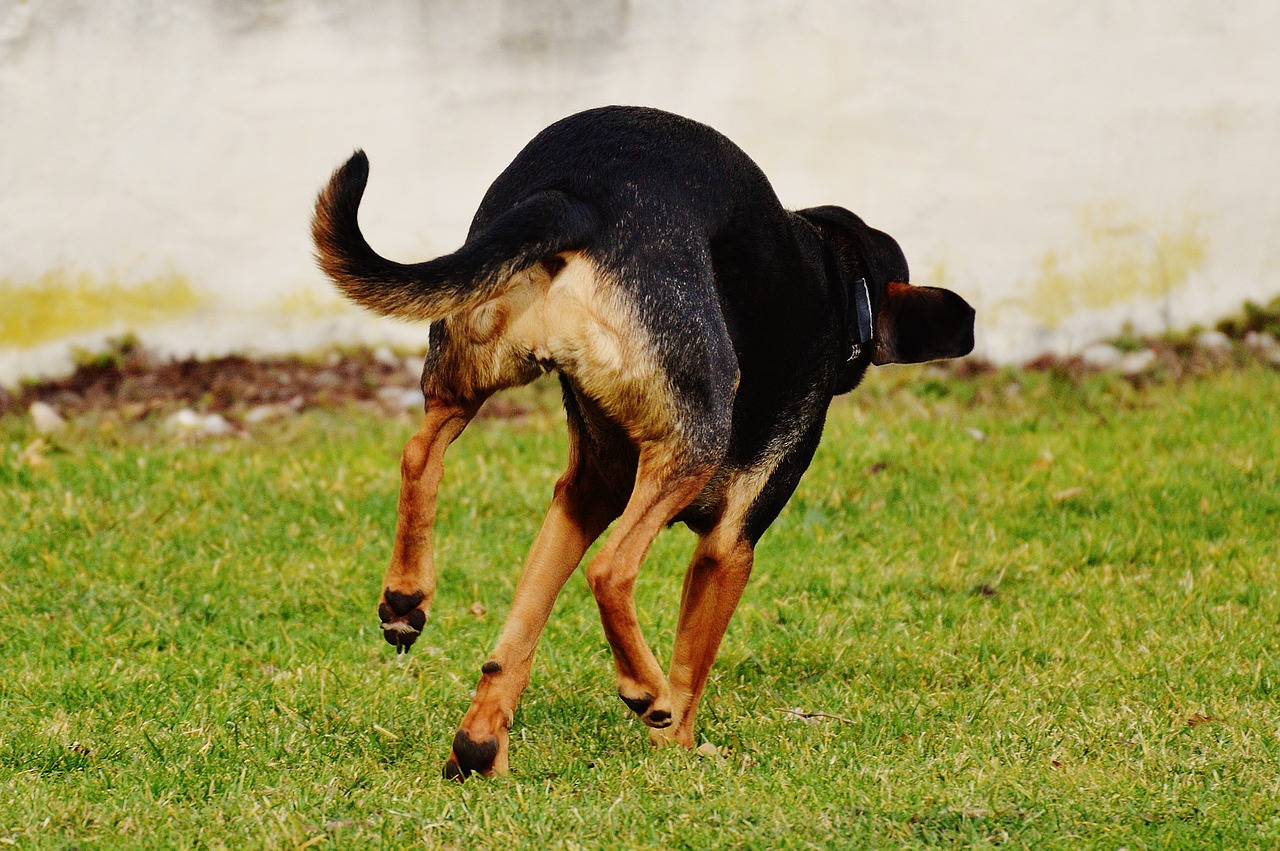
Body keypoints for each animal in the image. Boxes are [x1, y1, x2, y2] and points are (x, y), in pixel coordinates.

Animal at [314, 104, 972, 778]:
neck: (841, 283)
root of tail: (575, 197)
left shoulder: (584, 494)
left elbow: (520, 629)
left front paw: (479, 738)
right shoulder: (730, 546)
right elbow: (693, 661)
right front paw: (678, 745)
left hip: (468, 375)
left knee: (421, 456)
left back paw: (420, 626)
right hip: (696, 441)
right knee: (612, 569)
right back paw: (645, 690)